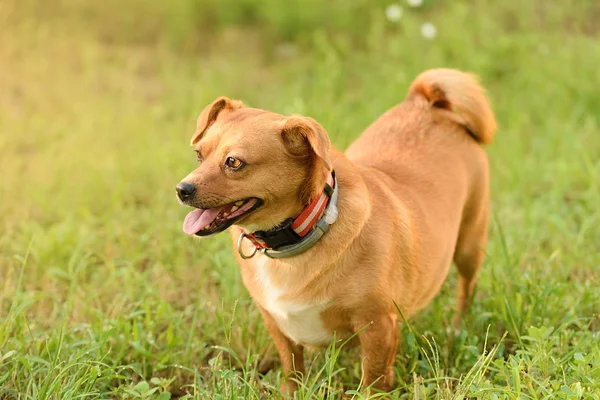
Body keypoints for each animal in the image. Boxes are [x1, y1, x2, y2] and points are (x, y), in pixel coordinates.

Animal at [176, 68, 494, 394]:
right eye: (199, 155)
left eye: (234, 162)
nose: (182, 189)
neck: (303, 230)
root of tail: (427, 102)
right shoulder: (278, 326)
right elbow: (292, 372)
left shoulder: (378, 327)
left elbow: (373, 382)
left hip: (469, 244)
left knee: (466, 287)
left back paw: (457, 328)